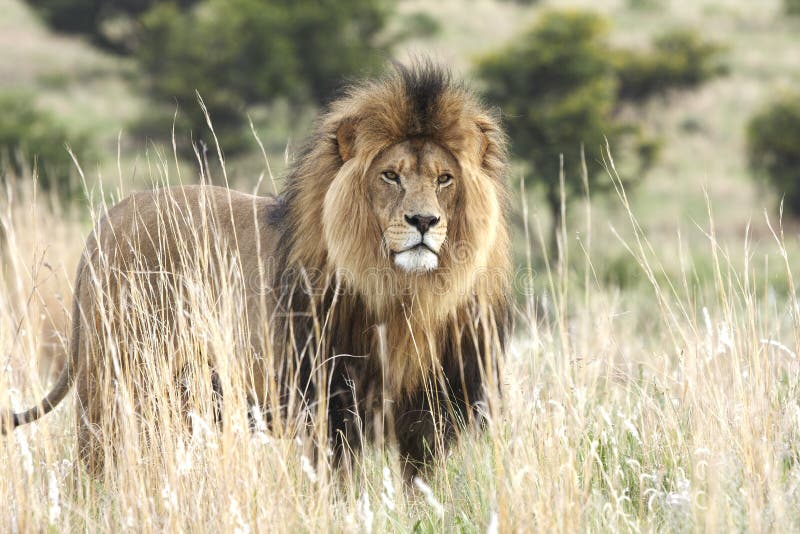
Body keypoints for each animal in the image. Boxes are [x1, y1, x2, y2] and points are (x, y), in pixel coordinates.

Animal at [1, 63, 512, 482]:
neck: (407, 296)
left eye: (444, 179)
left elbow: (425, 494)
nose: (423, 221)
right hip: (109, 378)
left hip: (179, 395)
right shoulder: (328, 409)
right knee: (89, 467)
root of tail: (106, 222)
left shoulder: (429, 418)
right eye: (390, 175)